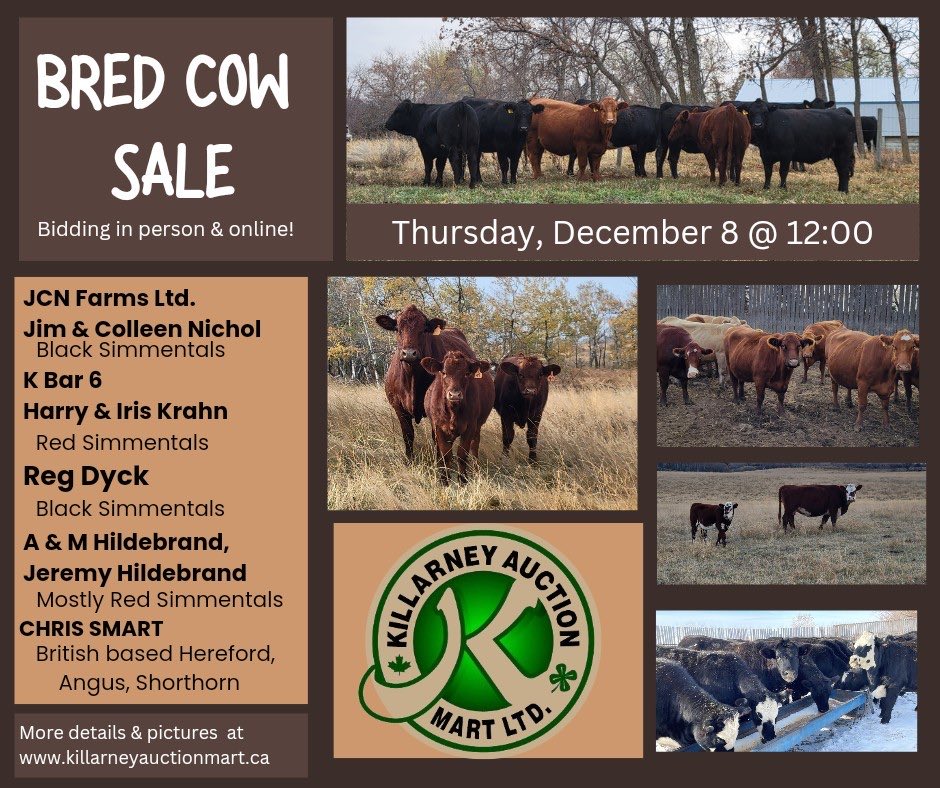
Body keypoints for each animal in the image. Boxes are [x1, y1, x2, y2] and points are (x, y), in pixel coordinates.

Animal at [376, 305, 474, 460]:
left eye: (423, 330)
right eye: (398, 329)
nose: (409, 353)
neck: (412, 379)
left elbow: (437, 439)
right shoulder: (398, 407)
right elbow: (408, 435)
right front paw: (409, 460)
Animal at [421, 351, 494, 486]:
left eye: (467, 373)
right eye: (444, 372)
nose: (454, 395)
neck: (453, 410)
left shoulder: (470, 427)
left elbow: (462, 454)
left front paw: (463, 479)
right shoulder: (438, 427)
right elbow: (445, 454)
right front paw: (444, 479)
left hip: (478, 427)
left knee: (474, 447)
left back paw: (476, 470)